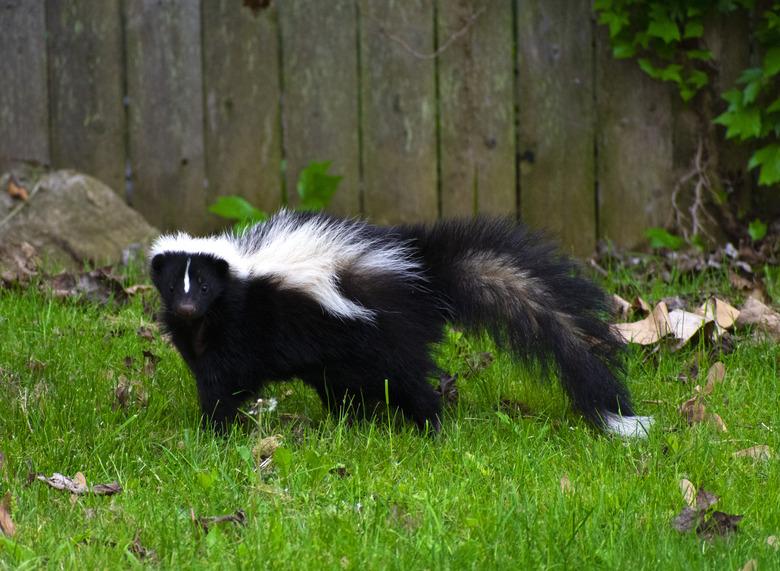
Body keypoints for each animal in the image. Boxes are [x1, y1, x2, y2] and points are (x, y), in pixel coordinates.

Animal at [151, 210, 652, 438]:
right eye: (176, 286)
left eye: (203, 287)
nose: (187, 308)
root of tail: (425, 277)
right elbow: (210, 375)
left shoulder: (241, 328)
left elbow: (225, 381)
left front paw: (213, 429)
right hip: (346, 357)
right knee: (347, 388)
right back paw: (353, 422)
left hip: (384, 340)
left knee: (411, 382)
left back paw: (432, 428)